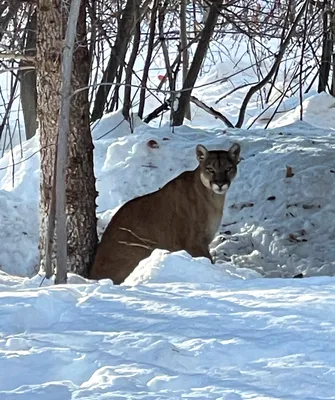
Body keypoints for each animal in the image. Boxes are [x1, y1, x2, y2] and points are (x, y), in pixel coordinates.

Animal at [89, 142, 242, 282]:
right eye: (210, 169)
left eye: (228, 168)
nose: (220, 184)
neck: (213, 197)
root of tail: (93, 274)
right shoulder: (194, 242)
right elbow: (208, 260)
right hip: (141, 248)